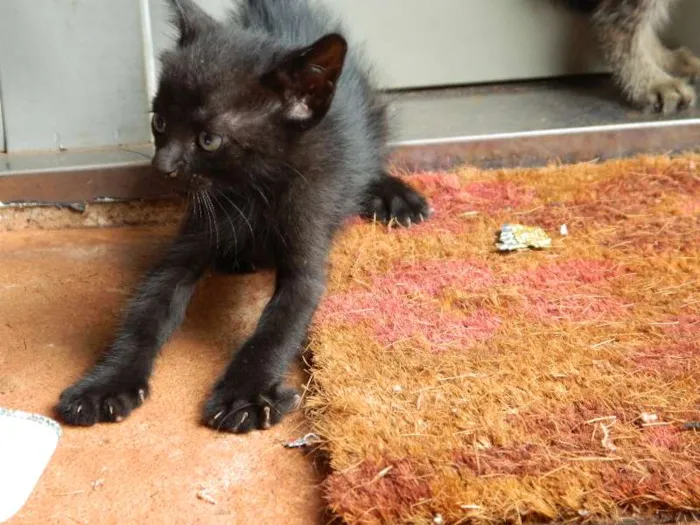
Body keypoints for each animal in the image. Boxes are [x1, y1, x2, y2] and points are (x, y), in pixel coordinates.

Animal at [57, 0, 430, 432]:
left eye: (209, 140)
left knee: (372, 152)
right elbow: (145, 311)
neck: (253, 190)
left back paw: (394, 195)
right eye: (159, 122)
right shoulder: (190, 239)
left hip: (372, 116)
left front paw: (245, 394)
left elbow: (279, 324)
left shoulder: (310, 226)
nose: (161, 166)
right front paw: (106, 385)